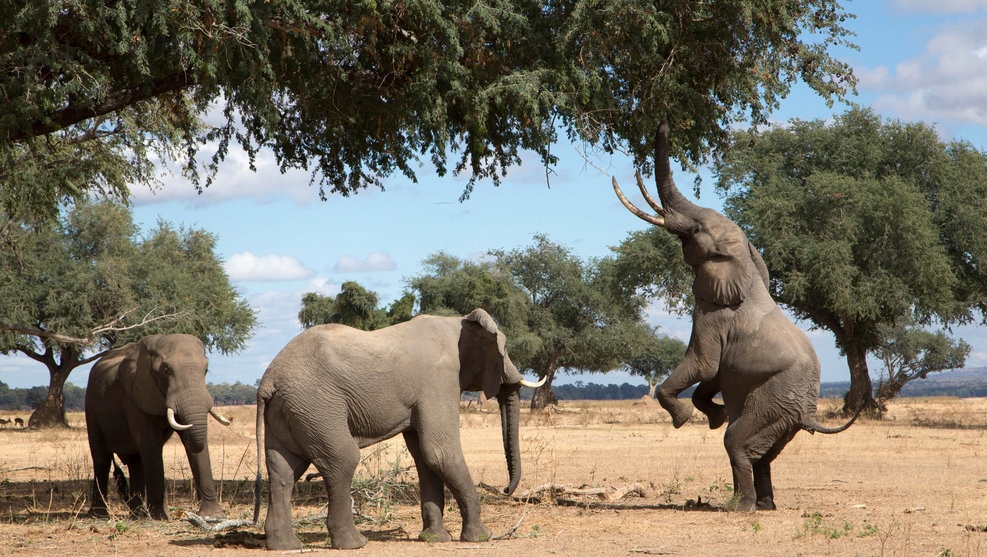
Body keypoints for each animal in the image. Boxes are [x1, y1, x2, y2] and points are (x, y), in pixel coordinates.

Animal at [85, 332, 232, 520]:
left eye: (205, 370)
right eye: (166, 371)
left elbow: (191, 442)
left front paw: (213, 515)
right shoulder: (136, 397)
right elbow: (151, 445)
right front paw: (160, 517)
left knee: (136, 461)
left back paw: (138, 515)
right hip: (91, 406)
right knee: (101, 458)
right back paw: (100, 515)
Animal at [253, 310, 548, 548]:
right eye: (504, 348)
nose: (505, 490)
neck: (457, 321)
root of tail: (268, 379)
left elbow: (425, 458)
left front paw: (434, 539)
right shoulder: (439, 381)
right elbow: (440, 453)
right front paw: (482, 537)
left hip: (291, 410)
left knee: (284, 470)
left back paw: (285, 546)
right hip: (316, 406)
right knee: (342, 459)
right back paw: (355, 543)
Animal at [608, 121, 856, 512]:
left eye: (693, 232)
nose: (664, 121)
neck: (745, 262)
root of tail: (808, 412)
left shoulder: (712, 313)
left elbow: (703, 364)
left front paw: (687, 419)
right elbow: (713, 375)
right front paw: (715, 415)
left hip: (774, 399)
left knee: (736, 443)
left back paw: (738, 507)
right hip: (781, 412)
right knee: (763, 455)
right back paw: (763, 505)